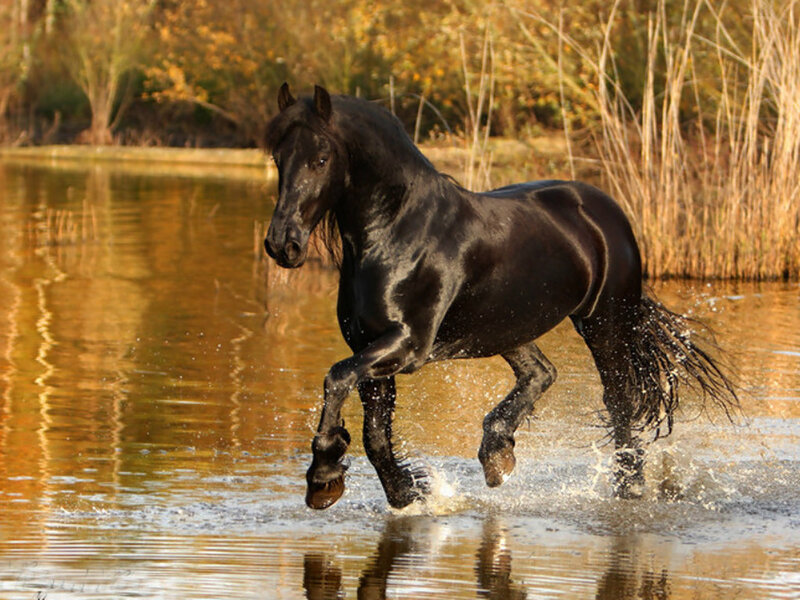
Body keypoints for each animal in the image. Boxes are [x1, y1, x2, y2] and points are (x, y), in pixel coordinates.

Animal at [263, 83, 738, 510]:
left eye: (321, 159)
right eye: (278, 158)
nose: (282, 244)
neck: (396, 231)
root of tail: (605, 210)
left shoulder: (407, 345)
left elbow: (336, 378)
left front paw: (323, 476)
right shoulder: (369, 344)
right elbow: (374, 433)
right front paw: (405, 492)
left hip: (605, 324)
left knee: (621, 404)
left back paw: (630, 489)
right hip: (507, 327)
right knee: (541, 373)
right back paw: (497, 454)